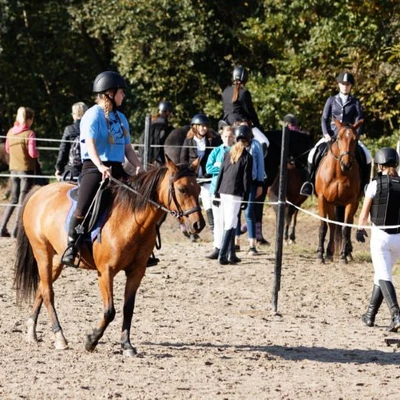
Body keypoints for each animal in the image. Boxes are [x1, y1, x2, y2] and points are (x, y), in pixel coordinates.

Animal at [13, 156, 205, 356]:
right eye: (182, 189)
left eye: (199, 189)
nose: (198, 224)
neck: (131, 219)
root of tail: (39, 192)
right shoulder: (105, 272)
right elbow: (110, 311)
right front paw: (91, 340)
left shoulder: (136, 272)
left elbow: (128, 308)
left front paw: (126, 345)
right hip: (42, 252)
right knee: (48, 292)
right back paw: (59, 337)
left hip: (57, 260)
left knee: (42, 287)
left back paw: (32, 332)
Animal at [316, 119, 362, 262]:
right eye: (339, 138)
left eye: (355, 139)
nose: (346, 164)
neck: (339, 173)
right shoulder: (323, 199)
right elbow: (323, 226)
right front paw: (320, 254)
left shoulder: (351, 201)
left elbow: (346, 228)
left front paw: (343, 256)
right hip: (331, 203)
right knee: (332, 224)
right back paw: (329, 253)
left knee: (347, 224)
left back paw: (347, 251)